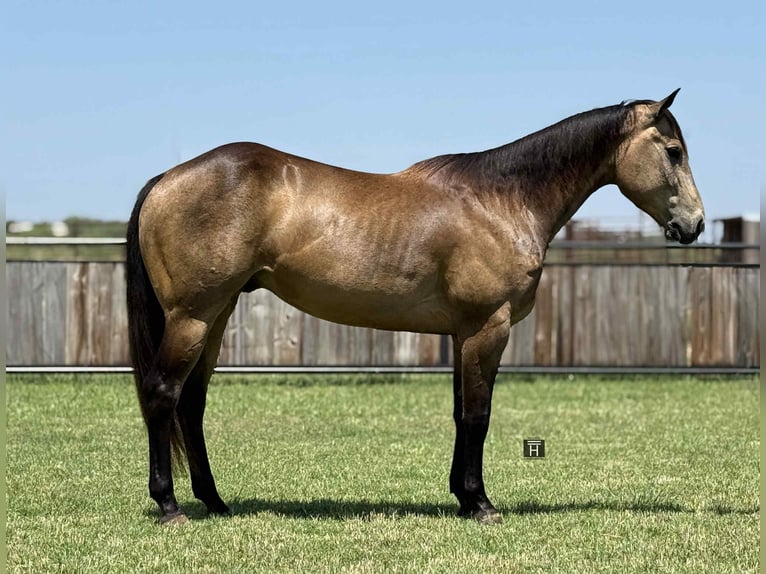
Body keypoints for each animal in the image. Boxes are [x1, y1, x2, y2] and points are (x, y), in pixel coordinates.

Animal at [126, 90, 704, 525]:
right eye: (673, 150)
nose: (695, 225)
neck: (500, 202)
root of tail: (165, 179)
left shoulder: (462, 334)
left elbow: (459, 412)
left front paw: (462, 497)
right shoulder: (487, 328)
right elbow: (478, 414)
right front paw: (481, 503)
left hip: (216, 316)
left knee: (191, 403)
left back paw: (215, 501)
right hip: (193, 316)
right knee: (162, 394)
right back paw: (170, 506)